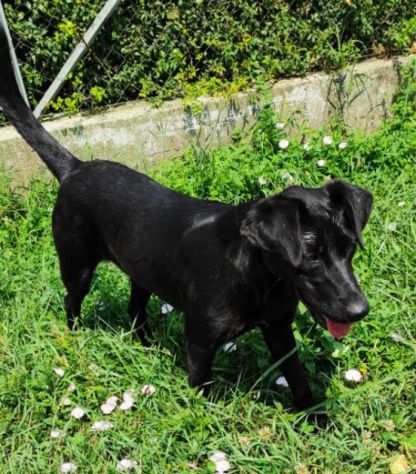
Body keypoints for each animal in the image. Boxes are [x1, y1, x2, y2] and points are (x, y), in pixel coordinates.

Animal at [0, 25, 370, 410]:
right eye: (311, 254)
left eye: (349, 250)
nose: (361, 310)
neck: (258, 274)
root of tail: (74, 168)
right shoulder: (199, 343)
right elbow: (203, 392)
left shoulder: (280, 329)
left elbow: (300, 382)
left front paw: (315, 416)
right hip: (77, 266)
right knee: (71, 303)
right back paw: (75, 340)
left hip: (142, 270)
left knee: (135, 310)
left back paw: (145, 345)